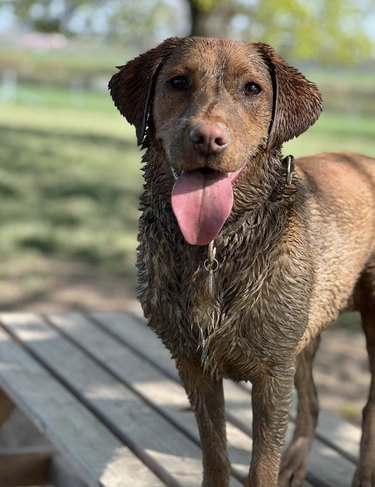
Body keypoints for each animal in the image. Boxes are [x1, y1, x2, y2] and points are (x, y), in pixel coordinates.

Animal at [108, 38, 375, 487]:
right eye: (178, 82)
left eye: (252, 88)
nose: (207, 138)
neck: (215, 246)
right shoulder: (193, 364)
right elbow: (214, 452)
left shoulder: (272, 373)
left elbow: (260, 467)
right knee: (312, 400)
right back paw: (296, 462)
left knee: (369, 409)